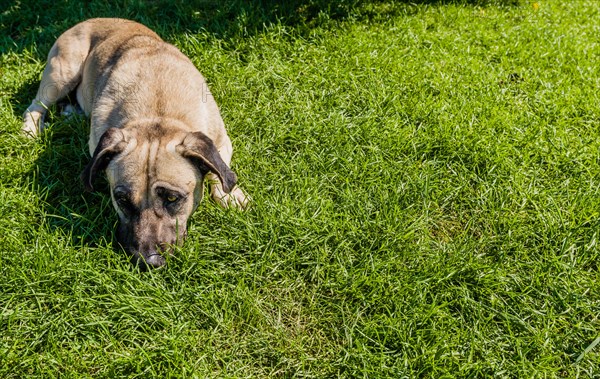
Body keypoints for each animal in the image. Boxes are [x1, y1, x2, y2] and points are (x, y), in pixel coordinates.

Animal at [23, 17, 248, 268]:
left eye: (172, 198)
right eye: (121, 199)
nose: (148, 260)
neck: (158, 112)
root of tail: (87, 21)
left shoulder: (221, 141)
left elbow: (218, 170)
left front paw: (230, 194)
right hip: (61, 74)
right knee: (35, 106)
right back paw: (31, 129)